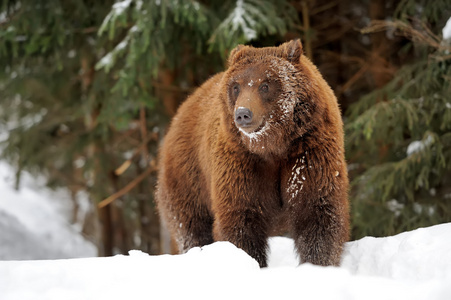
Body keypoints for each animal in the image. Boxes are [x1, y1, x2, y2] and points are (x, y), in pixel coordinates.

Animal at [157, 39, 352, 268]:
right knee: (191, 227)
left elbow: (318, 216)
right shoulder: (242, 164)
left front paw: (317, 264)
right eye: (236, 86)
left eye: (265, 85)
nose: (243, 114)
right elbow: (241, 221)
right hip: (189, 178)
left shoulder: (308, 155)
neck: (273, 146)